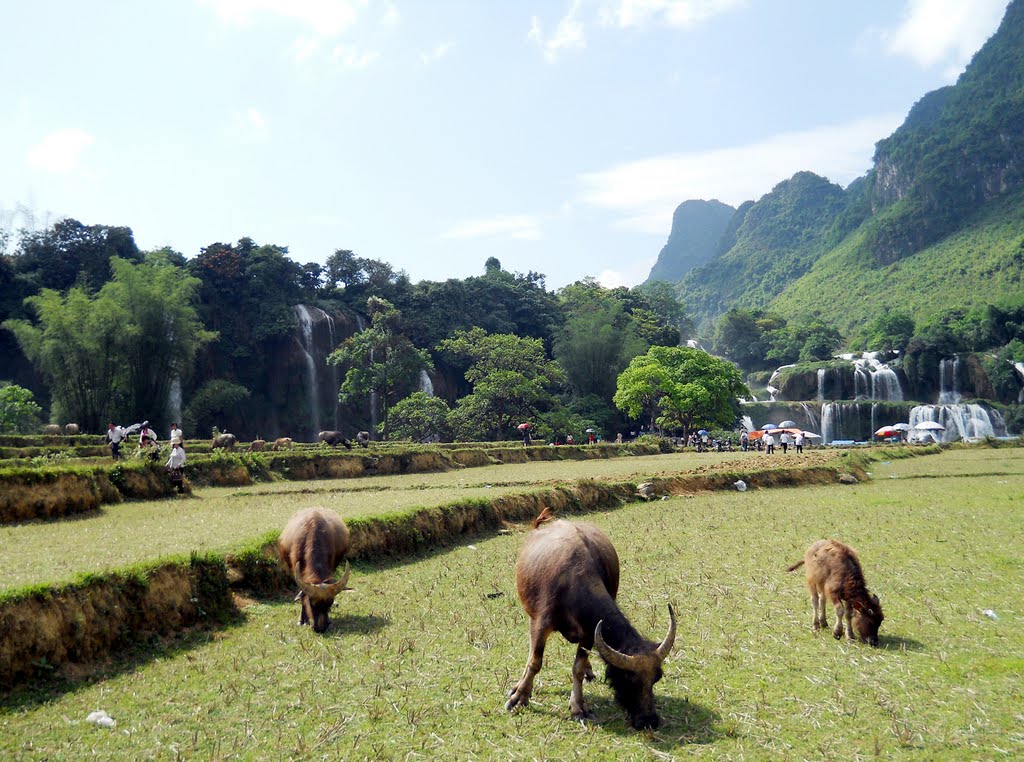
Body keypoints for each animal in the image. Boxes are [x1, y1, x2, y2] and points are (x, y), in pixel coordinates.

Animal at [505, 508, 679, 729]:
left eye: (657, 677)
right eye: (627, 678)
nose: (648, 721)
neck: (572, 584)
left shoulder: (588, 634)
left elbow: (578, 668)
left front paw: (578, 707)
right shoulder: (541, 624)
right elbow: (535, 662)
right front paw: (519, 697)